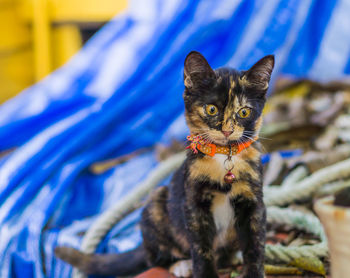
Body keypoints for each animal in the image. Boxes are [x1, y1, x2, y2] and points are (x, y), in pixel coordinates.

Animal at [55, 51, 274, 276]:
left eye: (244, 112)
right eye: (212, 109)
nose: (228, 130)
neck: (224, 157)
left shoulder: (253, 202)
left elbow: (255, 245)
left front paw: (254, 272)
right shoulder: (193, 204)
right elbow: (202, 248)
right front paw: (204, 272)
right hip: (155, 203)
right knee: (155, 258)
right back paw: (180, 265)